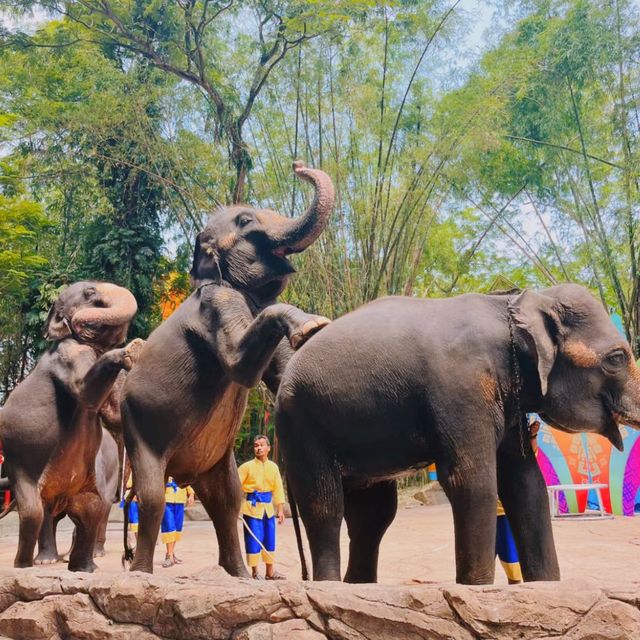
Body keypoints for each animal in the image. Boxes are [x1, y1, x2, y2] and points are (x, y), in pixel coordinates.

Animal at [0, 282, 142, 572]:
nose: (128, 555)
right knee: (35, 512)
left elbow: (113, 415)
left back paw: (84, 569)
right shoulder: (70, 354)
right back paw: (29, 565)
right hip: (21, 467)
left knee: (91, 510)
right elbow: (85, 392)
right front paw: (131, 351)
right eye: (89, 293)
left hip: (85, 484)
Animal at [122, 160, 338, 576]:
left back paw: (238, 575)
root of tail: (181, 473)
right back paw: (140, 574)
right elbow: (238, 366)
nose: (298, 166)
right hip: (138, 426)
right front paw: (313, 326)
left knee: (226, 499)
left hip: (213, 457)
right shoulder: (219, 302)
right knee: (153, 498)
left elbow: (279, 374)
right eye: (245, 220)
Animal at [276, 284, 640, 584]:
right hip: (301, 426)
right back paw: (328, 587)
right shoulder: (462, 389)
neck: (513, 304)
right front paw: (476, 589)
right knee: (324, 505)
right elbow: (471, 481)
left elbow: (526, 483)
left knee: (372, 515)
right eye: (617, 358)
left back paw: (358, 588)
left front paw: (546, 586)